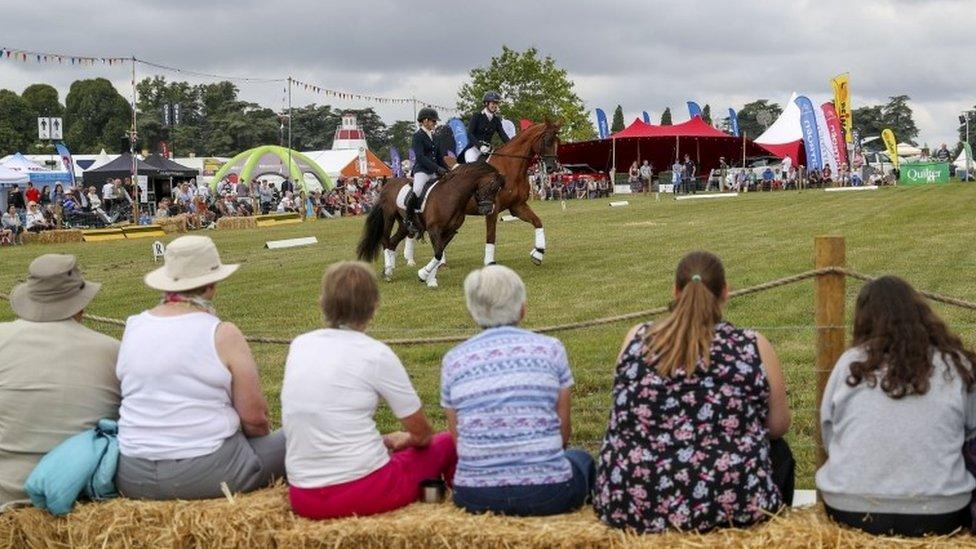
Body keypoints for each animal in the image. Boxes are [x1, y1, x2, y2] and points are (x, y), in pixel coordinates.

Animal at [356, 163, 504, 288]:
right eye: (491, 186)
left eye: (498, 189)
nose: (488, 210)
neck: (451, 195)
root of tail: (388, 183)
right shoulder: (434, 230)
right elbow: (438, 254)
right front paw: (423, 275)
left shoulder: (449, 232)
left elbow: (438, 254)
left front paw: (430, 280)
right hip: (388, 217)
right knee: (385, 241)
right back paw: (387, 273)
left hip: (405, 225)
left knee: (392, 242)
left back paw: (389, 271)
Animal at [400, 120, 560, 268]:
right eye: (547, 141)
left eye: (557, 142)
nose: (552, 168)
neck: (509, 166)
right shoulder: (492, 209)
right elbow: (491, 235)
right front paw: (489, 261)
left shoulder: (517, 206)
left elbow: (537, 222)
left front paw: (538, 253)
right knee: (413, 231)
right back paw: (414, 260)